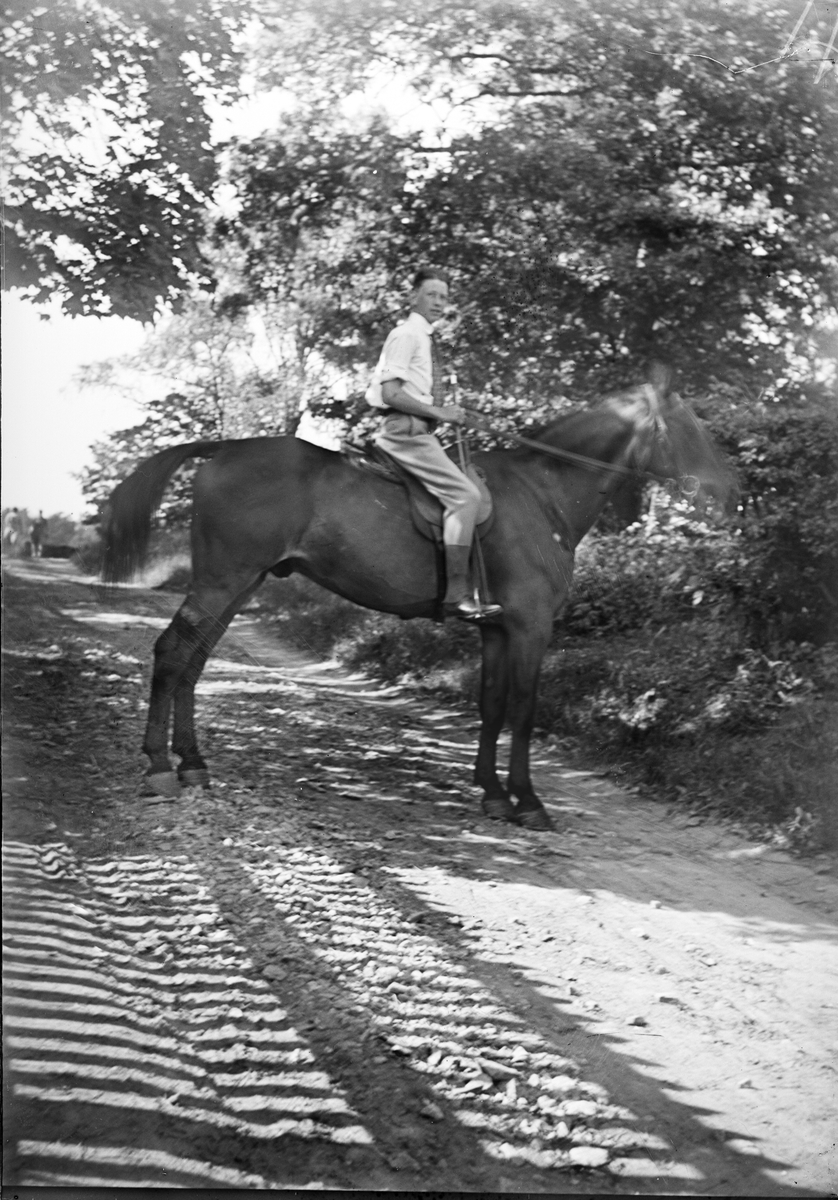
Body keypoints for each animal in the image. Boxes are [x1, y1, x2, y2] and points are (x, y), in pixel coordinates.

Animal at [102, 372, 735, 831]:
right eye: (690, 429)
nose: (728, 493)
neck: (543, 493)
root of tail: (225, 447)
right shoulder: (530, 626)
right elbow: (524, 709)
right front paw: (527, 801)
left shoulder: (496, 628)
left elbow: (491, 704)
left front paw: (492, 794)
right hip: (224, 579)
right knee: (172, 652)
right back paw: (159, 767)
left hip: (243, 582)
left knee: (194, 659)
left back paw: (192, 764)